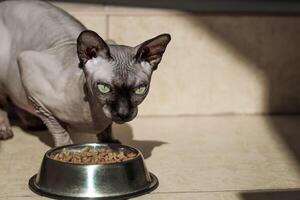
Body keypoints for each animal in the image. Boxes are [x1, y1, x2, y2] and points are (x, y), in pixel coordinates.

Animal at [0, 0, 170, 146]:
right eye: (104, 88)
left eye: (139, 89)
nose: (123, 113)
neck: (94, 116)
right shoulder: (31, 78)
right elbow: (58, 128)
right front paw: (64, 148)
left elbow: (107, 127)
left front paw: (108, 142)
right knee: (4, 101)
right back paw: (5, 129)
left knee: (14, 99)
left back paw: (31, 122)